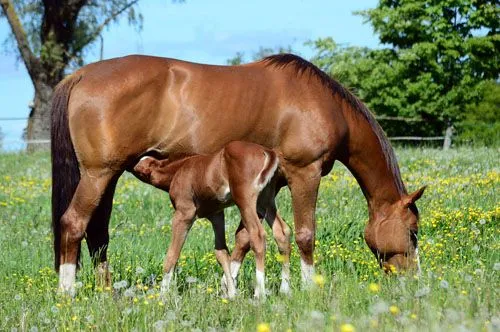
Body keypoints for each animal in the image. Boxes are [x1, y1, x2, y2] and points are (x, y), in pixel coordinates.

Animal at [131, 140, 292, 298]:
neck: (179, 170)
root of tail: (268, 152)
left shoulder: (184, 213)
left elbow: (172, 255)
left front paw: (163, 296)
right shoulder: (216, 214)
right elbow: (221, 253)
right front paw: (232, 294)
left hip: (245, 199)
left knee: (257, 235)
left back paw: (260, 295)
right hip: (265, 201)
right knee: (282, 232)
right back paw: (284, 290)